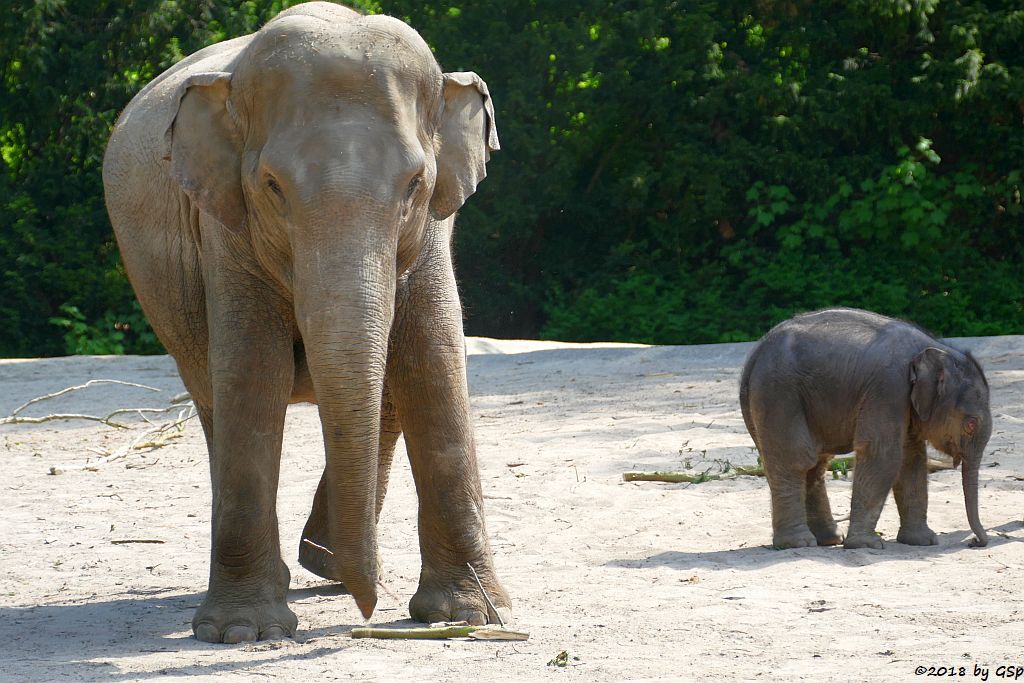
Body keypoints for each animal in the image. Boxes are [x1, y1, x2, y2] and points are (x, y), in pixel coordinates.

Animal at [101, 1, 509, 643]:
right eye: (272, 187)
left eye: (414, 184)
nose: (365, 617)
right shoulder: (225, 227)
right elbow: (253, 372)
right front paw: (243, 632)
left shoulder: (434, 228)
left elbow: (432, 361)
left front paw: (467, 617)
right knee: (214, 400)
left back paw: (329, 566)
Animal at [741, 307, 987, 552]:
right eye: (971, 424)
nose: (975, 542)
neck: (934, 346)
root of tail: (754, 353)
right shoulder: (888, 388)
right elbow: (883, 455)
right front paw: (866, 544)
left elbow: (912, 460)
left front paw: (923, 541)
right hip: (778, 394)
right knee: (796, 460)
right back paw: (798, 543)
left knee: (815, 464)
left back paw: (830, 539)